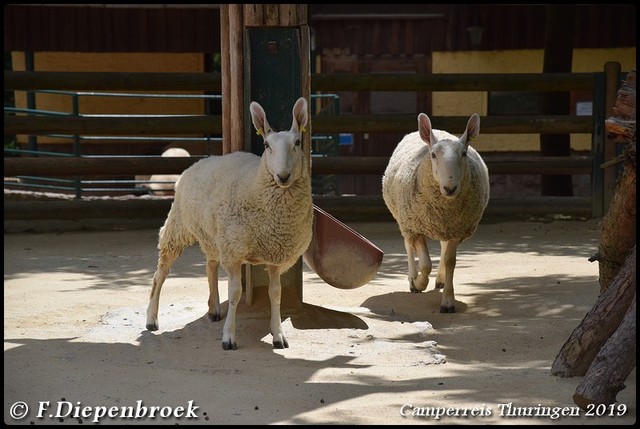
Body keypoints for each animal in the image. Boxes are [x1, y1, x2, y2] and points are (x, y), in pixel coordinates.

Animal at [148, 96, 312, 348]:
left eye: (297, 142)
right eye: (266, 146)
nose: (283, 176)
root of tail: (201, 161)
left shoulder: (276, 255)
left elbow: (276, 294)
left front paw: (278, 334)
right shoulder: (234, 252)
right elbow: (234, 293)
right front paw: (229, 337)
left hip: (214, 236)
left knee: (210, 265)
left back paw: (214, 308)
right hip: (178, 227)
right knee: (161, 274)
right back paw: (151, 319)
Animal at [380, 112, 490, 312]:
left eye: (464, 154)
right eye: (433, 155)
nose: (450, 188)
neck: (445, 207)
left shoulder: (456, 229)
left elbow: (450, 261)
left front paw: (448, 301)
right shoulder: (416, 226)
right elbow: (425, 264)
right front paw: (418, 283)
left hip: (442, 226)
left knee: (443, 247)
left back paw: (440, 279)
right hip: (405, 221)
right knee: (408, 246)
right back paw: (412, 277)